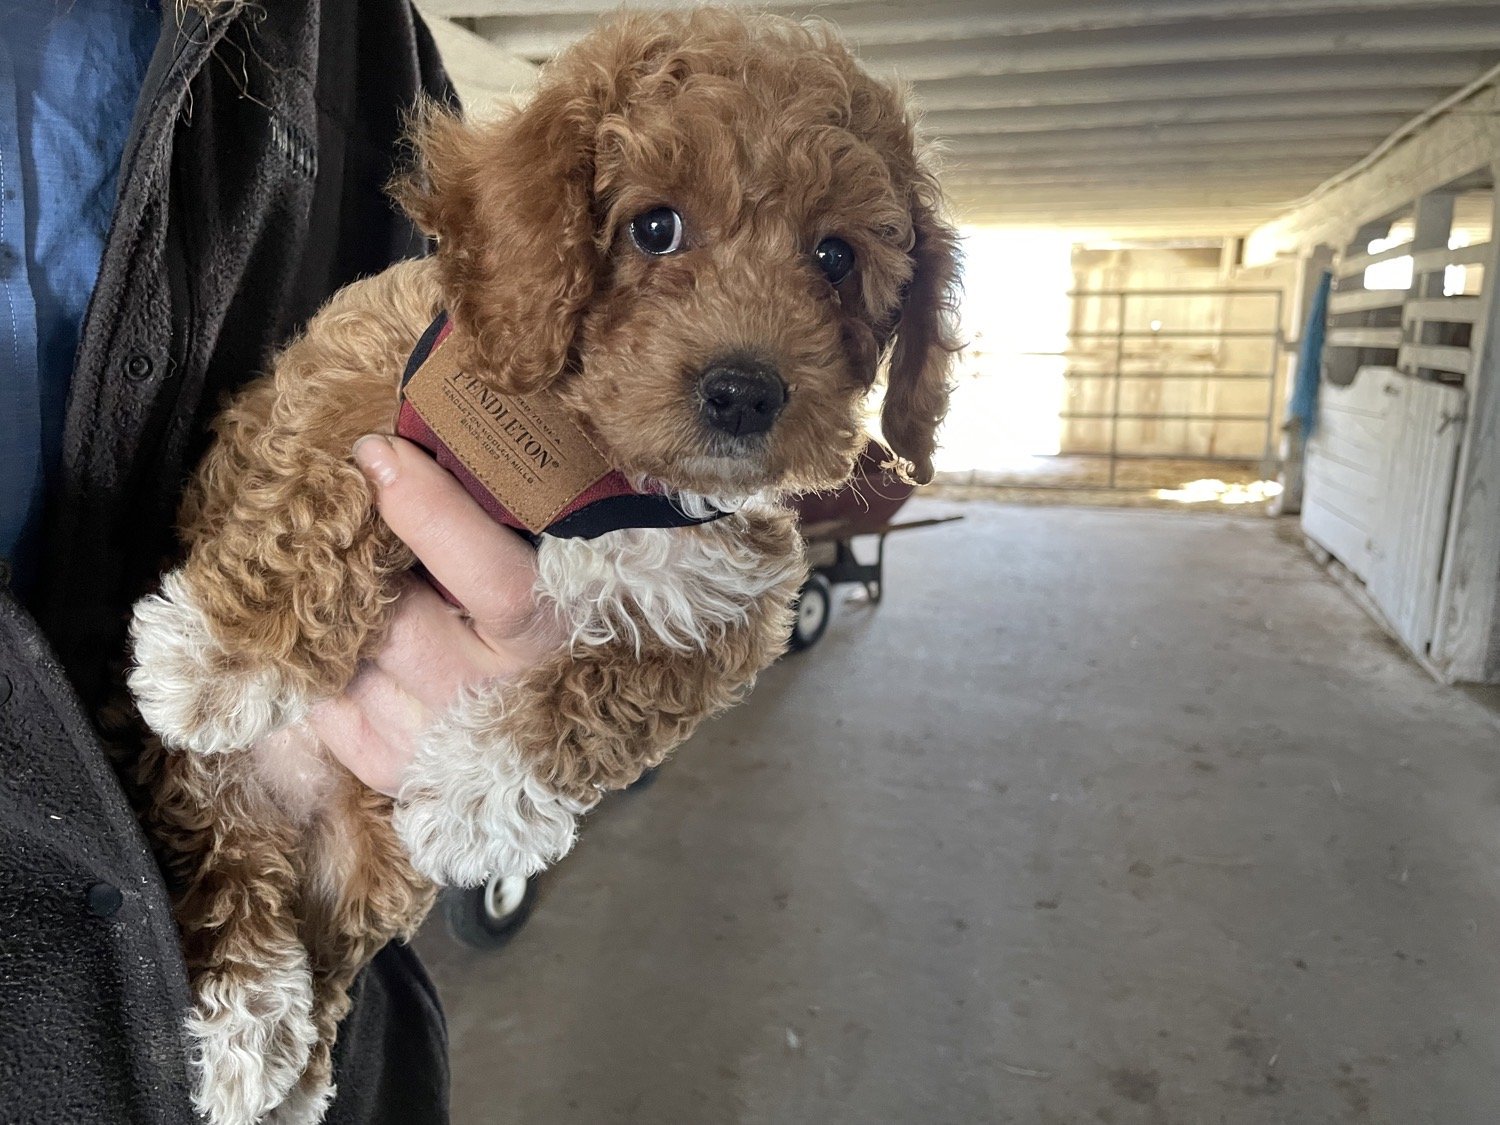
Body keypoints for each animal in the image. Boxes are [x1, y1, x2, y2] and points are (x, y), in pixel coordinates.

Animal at [126, 11, 948, 1125]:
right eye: (655, 228)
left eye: (835, 256)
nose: (743, 391)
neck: (585, 455)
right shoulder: (362, 372)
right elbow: (314, 498)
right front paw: (223, 656)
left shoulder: (727, 601)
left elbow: (602, 701)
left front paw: (480, 792)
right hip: (206, 789)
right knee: (219, 874)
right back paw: (248, 1019)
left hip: (364, 870)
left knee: (323, 944)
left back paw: (280, 1056)